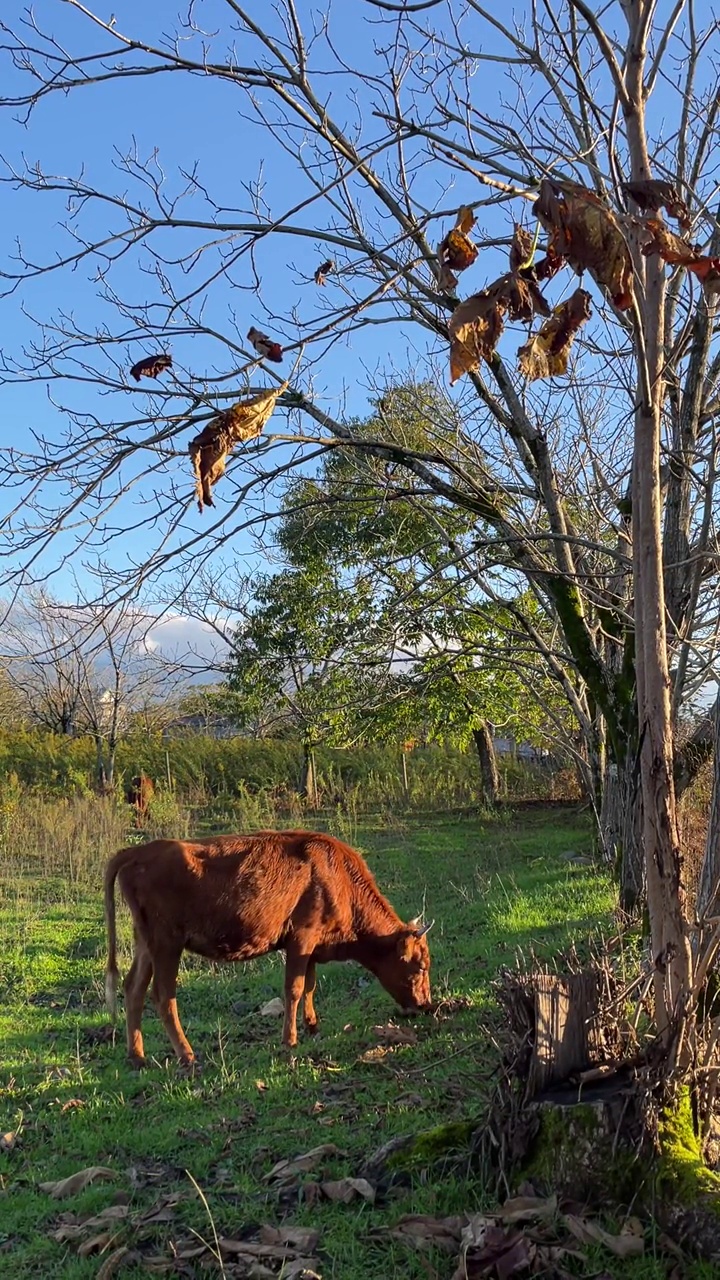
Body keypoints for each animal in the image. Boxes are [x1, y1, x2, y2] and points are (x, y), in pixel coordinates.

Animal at [103, 824, 427, 1064]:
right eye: (420, 966)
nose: (426, 1004)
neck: (335, 875)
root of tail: (137, 851)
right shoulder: (301, 940)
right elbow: (294, 989)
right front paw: (290, 1040)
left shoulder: (310, 949)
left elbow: (309, 985)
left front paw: (312, 1025)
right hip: (167, 944)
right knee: (162, 995)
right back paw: (187, 1054)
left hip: (146, 944)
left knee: (134, 988)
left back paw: (137, 1056)